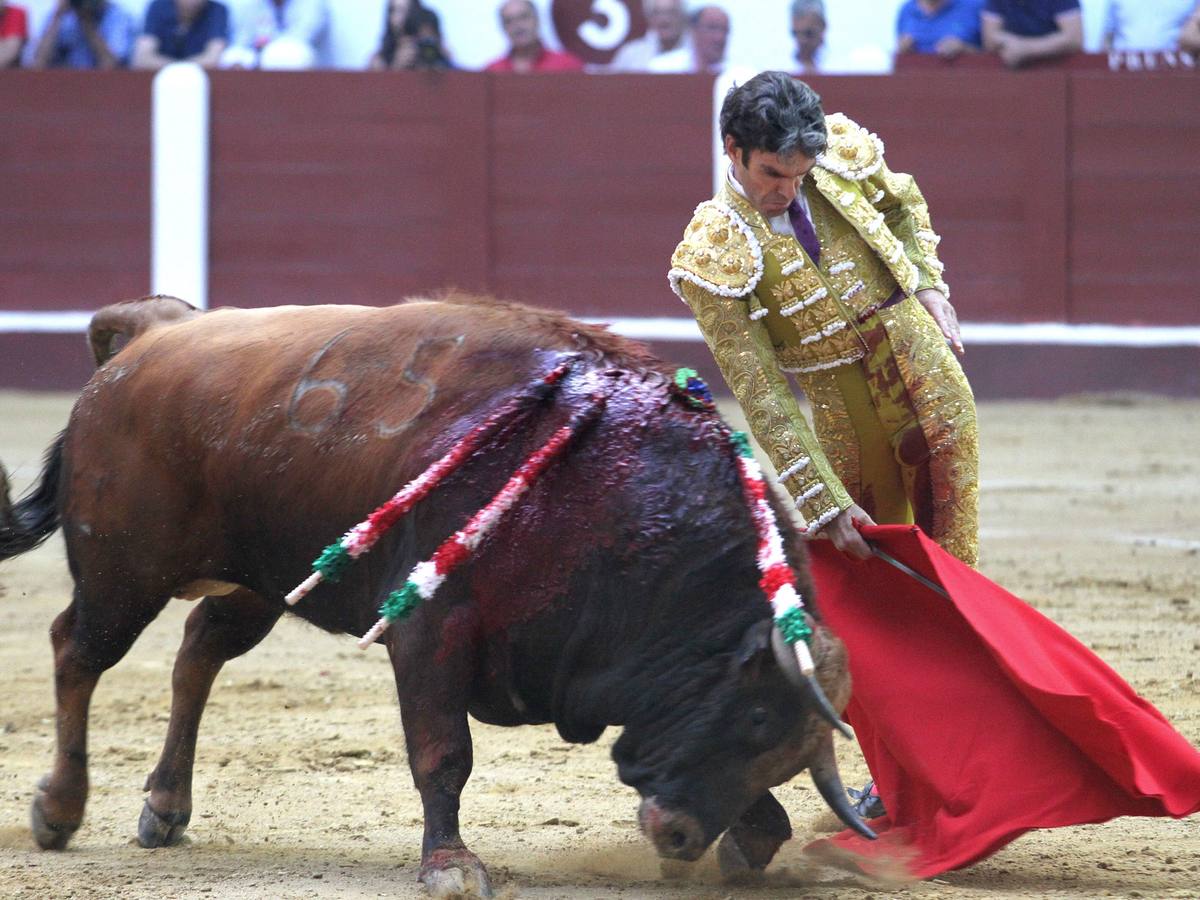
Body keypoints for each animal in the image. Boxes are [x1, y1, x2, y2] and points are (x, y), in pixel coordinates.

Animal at [4, 294, 878, 897]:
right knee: (77, 650)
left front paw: (743, 844)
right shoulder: (430, 630)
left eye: (781, 746)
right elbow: (443, 752)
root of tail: (148, 337)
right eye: (757, 715)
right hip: (124, 573)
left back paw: (164, 807)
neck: (614, 498)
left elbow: (763, 823)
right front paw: (451, 866)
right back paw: (60, 809)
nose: (678, 837)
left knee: (198, 650)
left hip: (259, 581)